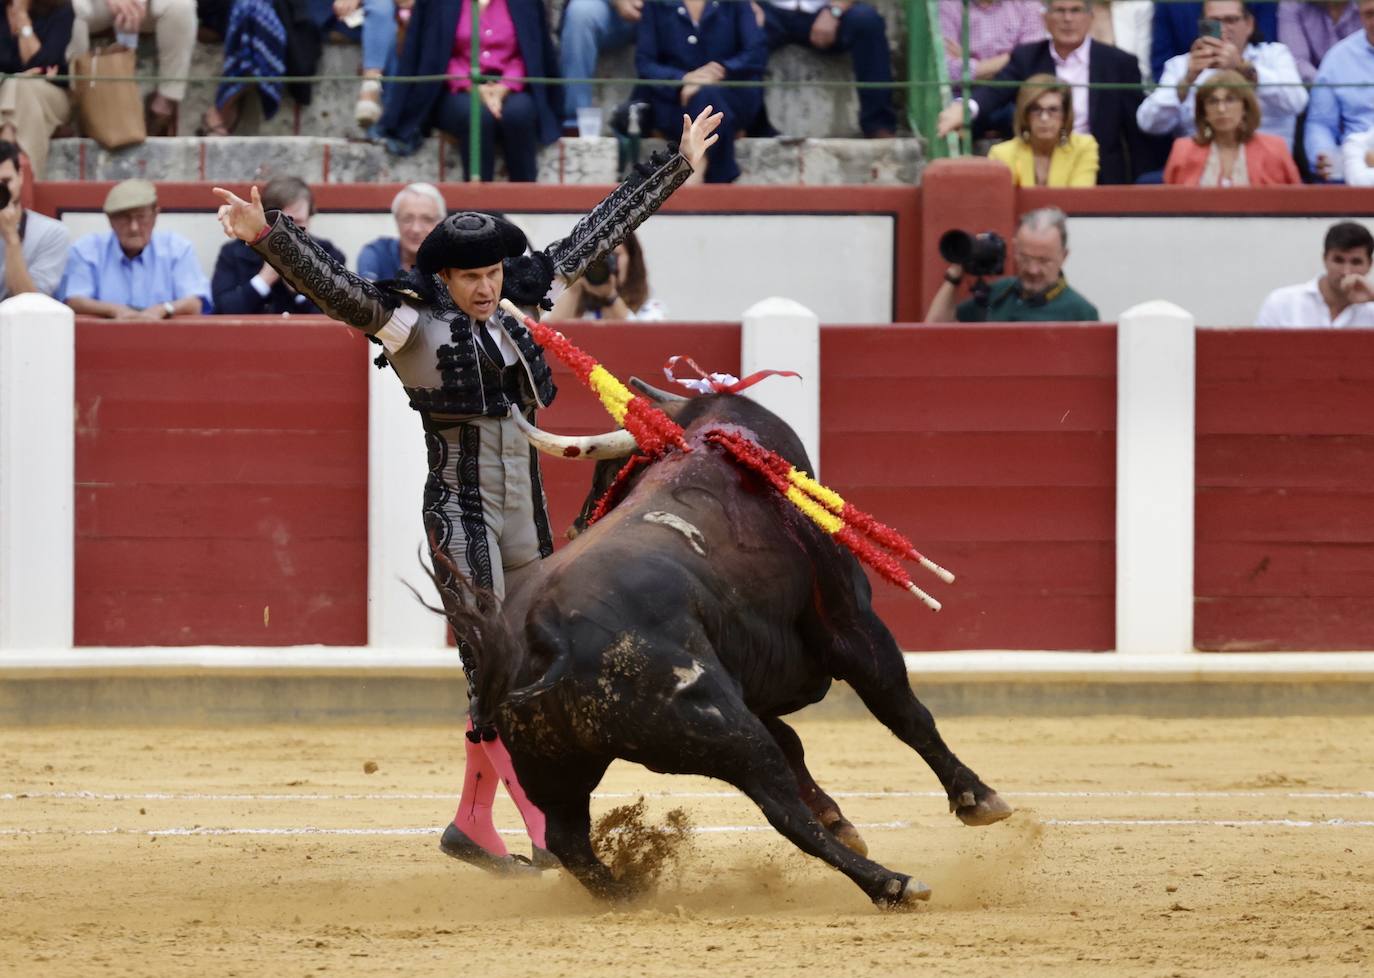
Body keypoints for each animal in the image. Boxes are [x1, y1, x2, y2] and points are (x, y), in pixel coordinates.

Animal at [445, 381, 1016, 906]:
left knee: (568, 839)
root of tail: (545, 634)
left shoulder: (748, 673)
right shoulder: (851, 625)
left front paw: (838, 818)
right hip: (720, 725)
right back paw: (892, 883)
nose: (574, 523)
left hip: (554, 764)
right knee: (779, 805)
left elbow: (797, 742)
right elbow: (904, 712)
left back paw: (626, 893)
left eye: (611, 472)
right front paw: (979, 799)